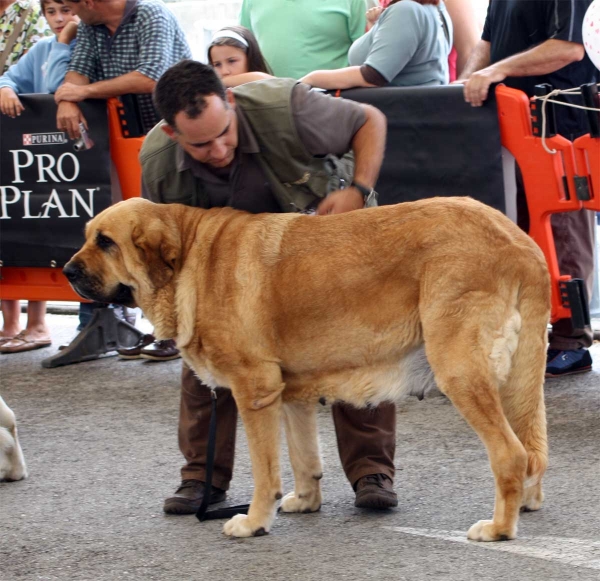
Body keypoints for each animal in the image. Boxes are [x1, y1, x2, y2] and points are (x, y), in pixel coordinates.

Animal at [64, 196, 548, 540]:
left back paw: (499, 529)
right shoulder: (289, 395)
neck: (189, 260)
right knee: (533, 448)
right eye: (88, 236)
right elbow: (303, 458)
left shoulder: (254, 391)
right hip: (517, 379)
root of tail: (520, 243)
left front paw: (255, 521)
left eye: (106, 242)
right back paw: (526, 503)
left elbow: (265, 470)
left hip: (460, 372)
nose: (66, 270)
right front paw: (303, 500)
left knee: (511, 453)